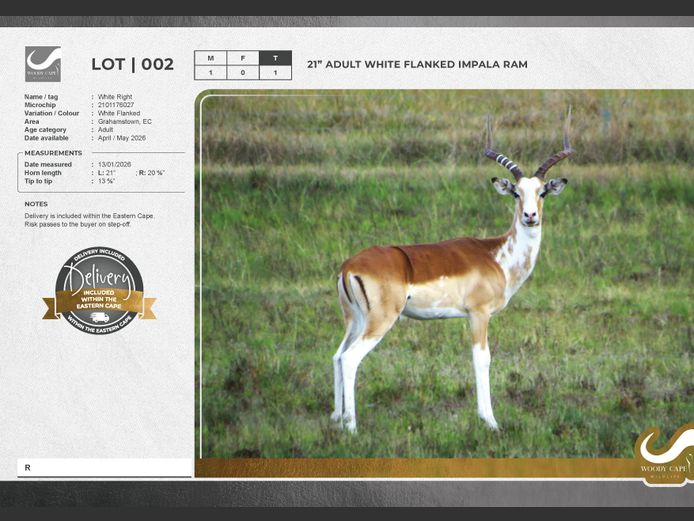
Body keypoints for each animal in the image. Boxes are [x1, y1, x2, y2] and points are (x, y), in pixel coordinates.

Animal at [331, 109, 574, 433]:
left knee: (337, 355)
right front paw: (490, 421)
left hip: (355, 319)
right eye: (516, 193)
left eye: (542, 192)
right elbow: (482, 360)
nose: (530, 216)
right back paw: (351, 427)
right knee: (349, 358)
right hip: (380, 320)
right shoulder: (478, 314)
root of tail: (350, 265)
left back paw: (335, 418)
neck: (497, 256)